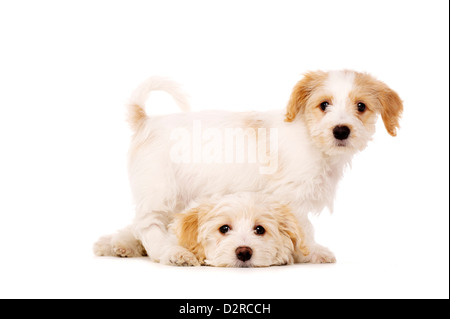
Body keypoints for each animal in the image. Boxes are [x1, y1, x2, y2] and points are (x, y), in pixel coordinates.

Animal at [93, 192, 308, 268]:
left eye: (259, 229)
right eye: (224, 228)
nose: (244, 252)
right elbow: (167, 246)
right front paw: (180, 256)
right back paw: (117, 245)